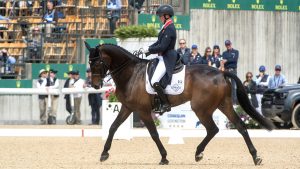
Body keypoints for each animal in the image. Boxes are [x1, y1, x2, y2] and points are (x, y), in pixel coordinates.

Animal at [85, 43, 276, 166]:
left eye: (96, 63)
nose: (95, 85)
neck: (131, 73)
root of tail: (221, 73)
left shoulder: (143, 110)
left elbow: (153, 134)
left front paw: (164, 157)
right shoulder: (127, 107)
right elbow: (113, 127)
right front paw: (104, 154)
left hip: (201, 108)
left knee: (213, 129)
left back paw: (198, 153)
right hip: (224, 105)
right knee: (240, 127)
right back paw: (255, 157)